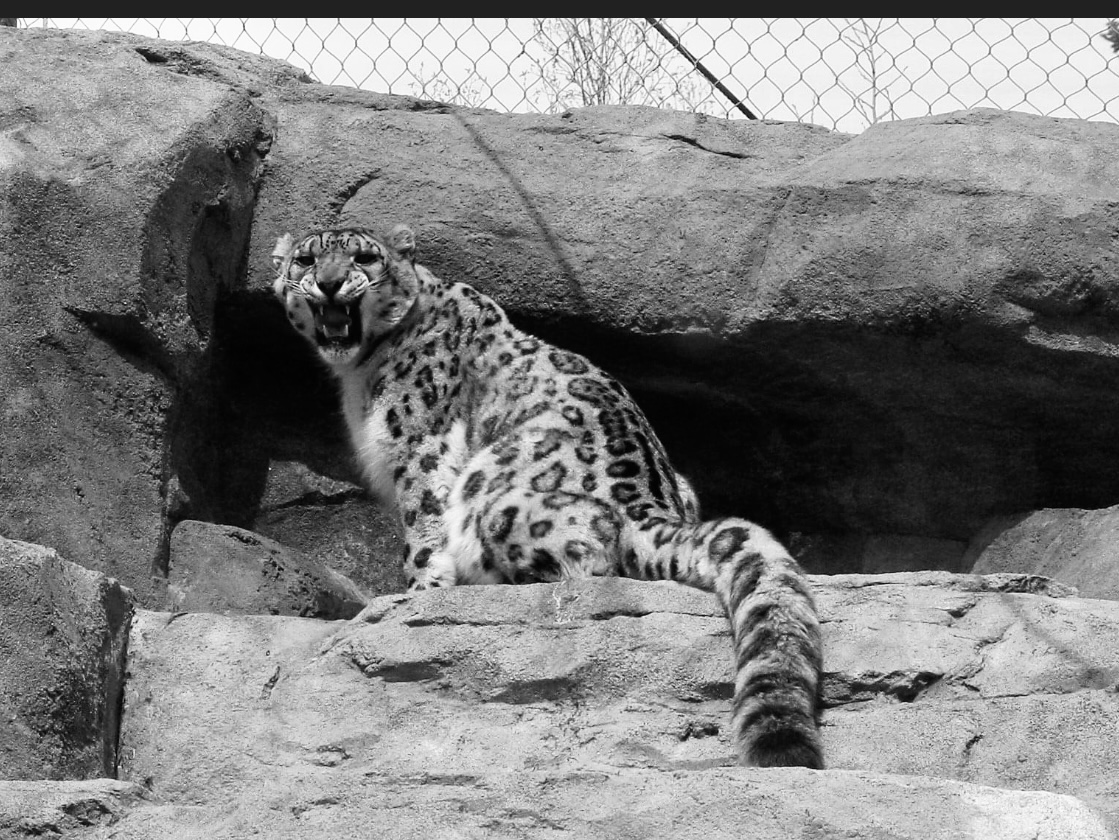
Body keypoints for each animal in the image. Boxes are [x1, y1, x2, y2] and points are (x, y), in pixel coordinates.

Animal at [271, 224, 824, 768]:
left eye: (363, 258)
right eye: (305, 260)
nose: (329, 284)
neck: (360, 372)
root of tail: (652, 508)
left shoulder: (420, 447)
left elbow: (423, 528)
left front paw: (420, 590)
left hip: (496, 500)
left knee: (582, 570)